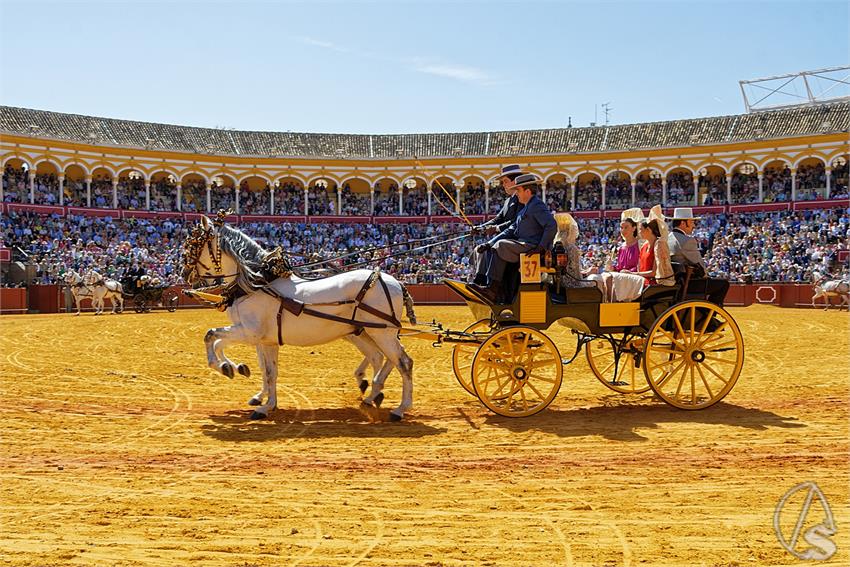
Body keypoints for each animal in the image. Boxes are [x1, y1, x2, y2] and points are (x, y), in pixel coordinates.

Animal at [182, 216, 418, 422]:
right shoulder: (263, 340)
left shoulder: (248, 332)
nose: (184, 273)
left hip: (382, 332)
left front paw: (227, 369)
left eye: (193, 244)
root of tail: (395, 282)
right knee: (382, 358)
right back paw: (372, 395)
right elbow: (267, 370)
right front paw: (254, 390)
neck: (257, 284)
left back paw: (399, 409)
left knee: (403, 362)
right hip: (366, 332)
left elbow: (212, 336)